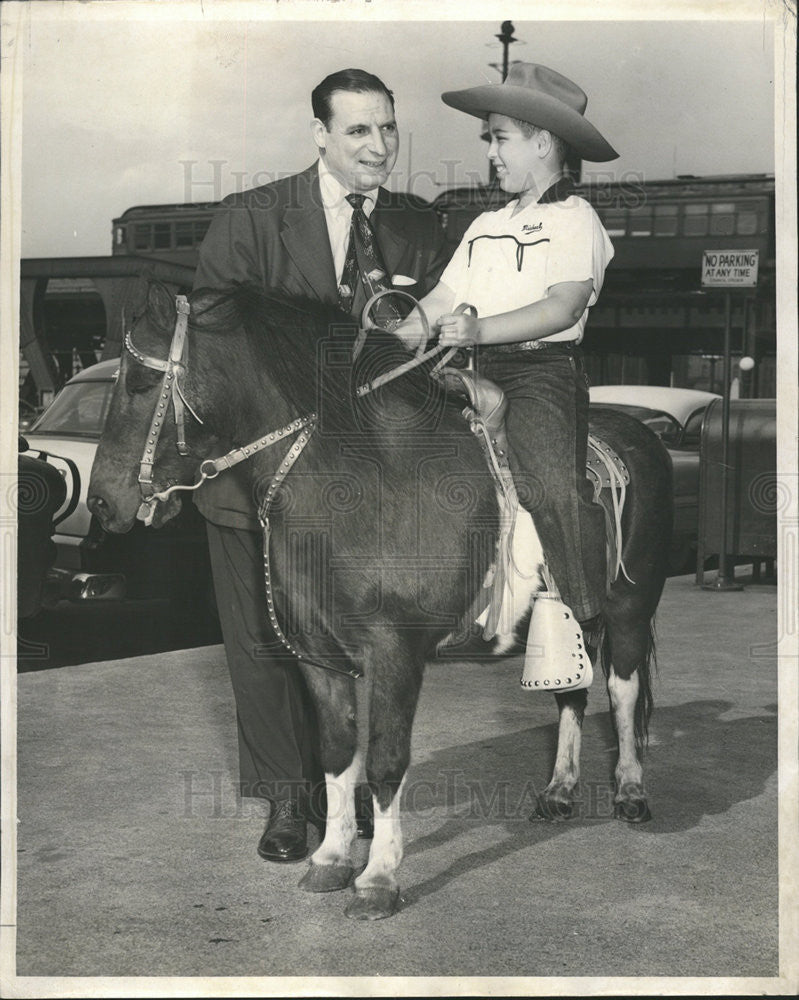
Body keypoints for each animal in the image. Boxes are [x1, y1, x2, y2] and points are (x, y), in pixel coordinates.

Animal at [89, 282, 676, 920]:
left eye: (137, 383)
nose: (101, 503)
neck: (362, 484)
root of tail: (642, 434)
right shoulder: (318, 655)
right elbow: (338, 753)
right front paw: (330, 857)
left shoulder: (396, 649)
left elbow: (386, 760)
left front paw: (379, 877)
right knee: (571, 692)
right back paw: (560, 790)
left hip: (630, 608)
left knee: (622, 689)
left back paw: (631, 790)